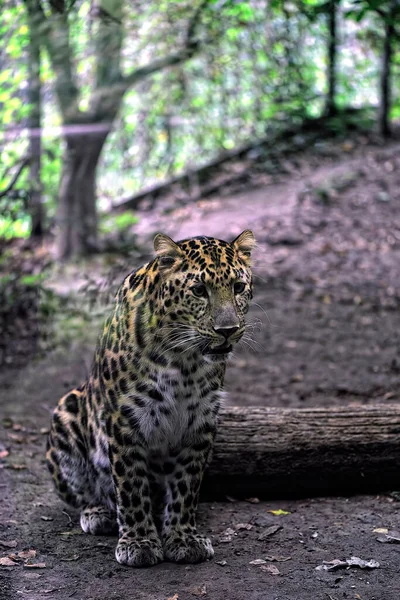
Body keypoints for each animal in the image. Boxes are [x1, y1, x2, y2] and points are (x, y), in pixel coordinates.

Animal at [46, 230, 256, 568]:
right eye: (199, 290)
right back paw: (99, 513)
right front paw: (139, 543)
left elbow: (186, 485)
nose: (228, 330)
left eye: (238, 287)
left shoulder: (201, 422)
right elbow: (131, 485)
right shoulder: (125, 419)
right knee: (84, 494)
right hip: (66, 410)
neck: (185, 361)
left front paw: (183, 537)